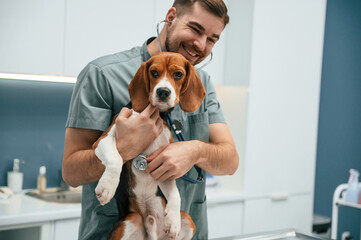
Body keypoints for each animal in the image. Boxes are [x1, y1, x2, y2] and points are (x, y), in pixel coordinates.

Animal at [92, 53, 205, 240]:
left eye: (178, 74)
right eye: (153, 72)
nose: (163, 92)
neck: (156, 114)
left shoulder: (164, 165)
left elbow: (175, 194)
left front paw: (172, 220)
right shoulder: (103, 140)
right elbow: (116, 158)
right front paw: (107, 187)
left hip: (188, 219)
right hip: (130, 220)